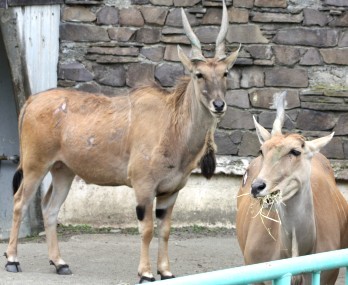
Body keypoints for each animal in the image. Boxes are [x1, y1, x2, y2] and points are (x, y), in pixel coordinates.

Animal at [4, 0, 241, 282]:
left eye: (225, 73)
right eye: (198, 74)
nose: (219, 105)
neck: (172, 124)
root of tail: (31, 102)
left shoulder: (171, 191)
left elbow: (165, 230)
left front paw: (166, 271)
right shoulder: (143, 186)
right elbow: (147, 229)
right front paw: (146, 273)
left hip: (63, 170)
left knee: (50, 208)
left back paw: (60, 263)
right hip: (35, 165)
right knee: (19, 202)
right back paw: (12, 260)